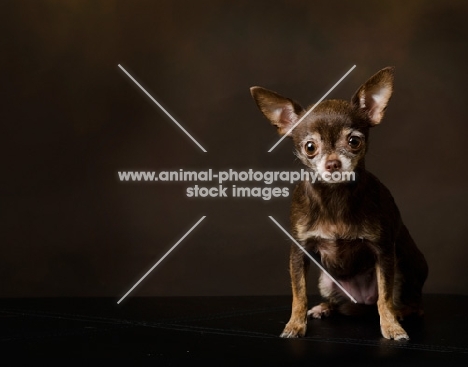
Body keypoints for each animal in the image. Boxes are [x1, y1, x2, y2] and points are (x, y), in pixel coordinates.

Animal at [252, 67, 428, 340]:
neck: (334, 197)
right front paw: (295, 325)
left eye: (354, 141)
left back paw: (401, 312)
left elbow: (385, 298)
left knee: (407, 303)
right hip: (327, 280)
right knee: (339, 302)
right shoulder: (299, 251)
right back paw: (325, 307)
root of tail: (361, 301)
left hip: (402, 266)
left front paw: (390, 326)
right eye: (310, 147)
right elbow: (298, 295)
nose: (333, 163)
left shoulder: (383, 251)